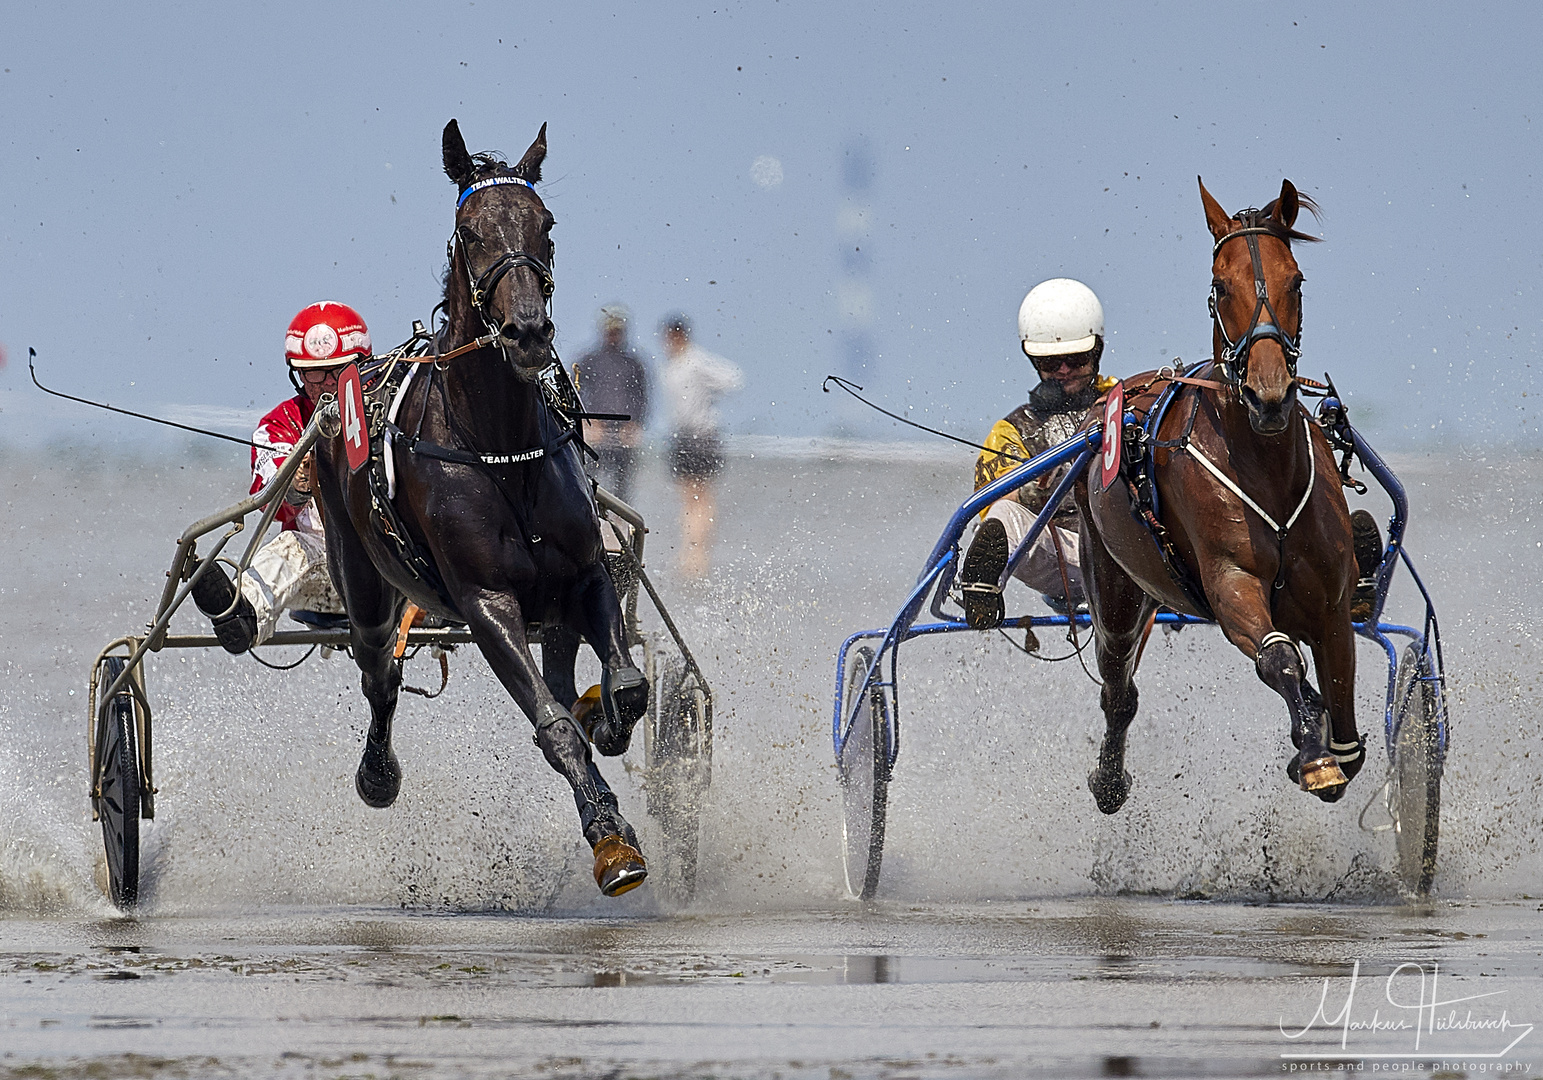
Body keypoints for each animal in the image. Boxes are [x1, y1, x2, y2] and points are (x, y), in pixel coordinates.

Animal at [313, 118, 651, 901]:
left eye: (545, 223)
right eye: (468, 231)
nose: (528, 332)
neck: (497, 442)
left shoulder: (583, 573)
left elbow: (627, 685)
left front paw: (608, 722)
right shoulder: (487, 603)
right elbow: (553, 729)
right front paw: (610, 840)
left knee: (566, 672)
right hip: (362, 579)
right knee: (378, 672)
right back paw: (378, 773)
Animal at [1073, 178, 1364, 820]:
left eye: (1295, 280)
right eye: (1221, 284)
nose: (1269, 394)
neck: (1267, 469)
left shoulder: (1333, 604)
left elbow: (1345, 719)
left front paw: (1324, 741)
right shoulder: (1232, 584)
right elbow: (1278, 656)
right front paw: (1312, 754)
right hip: (1114, 584)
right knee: (1117, 687)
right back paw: (1108, 778)